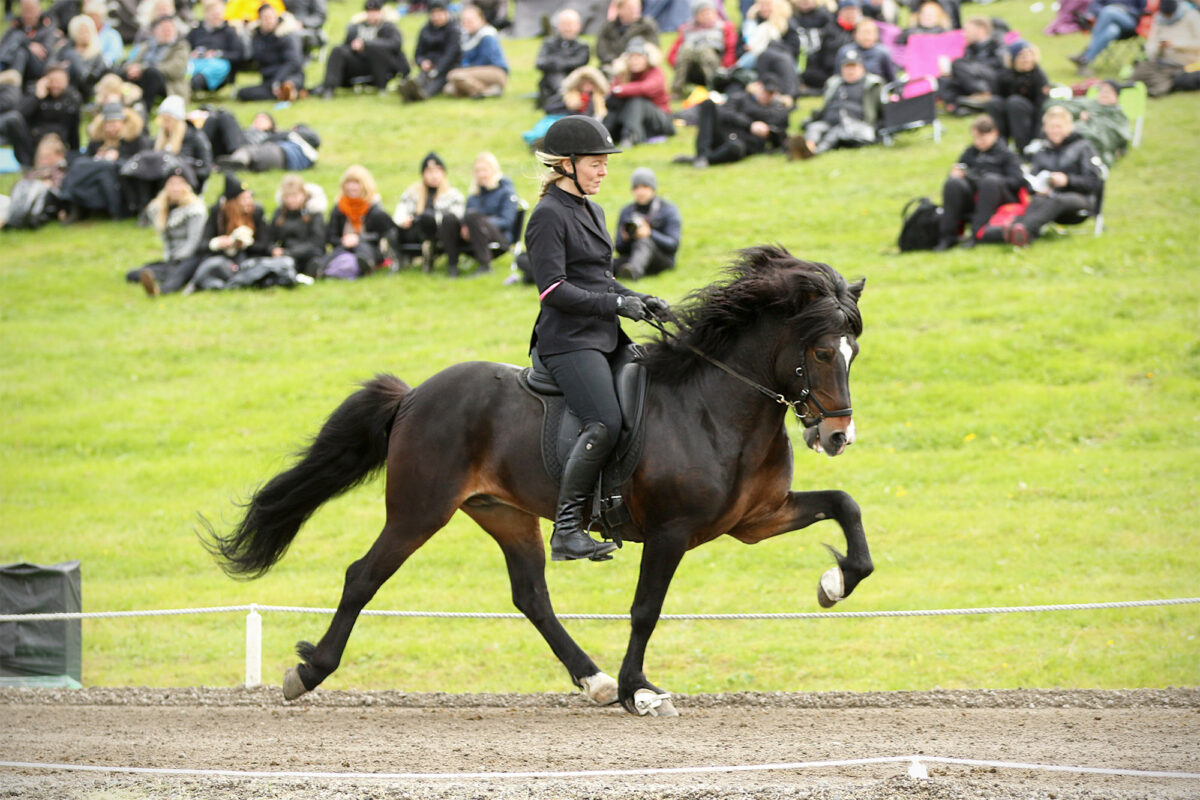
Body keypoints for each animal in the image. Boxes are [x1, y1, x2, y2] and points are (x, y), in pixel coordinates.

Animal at [204, 245, 873, 719]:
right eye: (820, 352)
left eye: (852, 354)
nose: (838, 436)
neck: (717, 405)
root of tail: (415, 395)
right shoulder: (671, 531)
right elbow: (646, 609)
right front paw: (640, 690)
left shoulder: (755, 520)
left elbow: (846, 506)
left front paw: (834, 584)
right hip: (420, 510)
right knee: (363, 576)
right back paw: (308, 672)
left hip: (503, 512)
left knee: (531, 596)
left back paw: (593, 680)